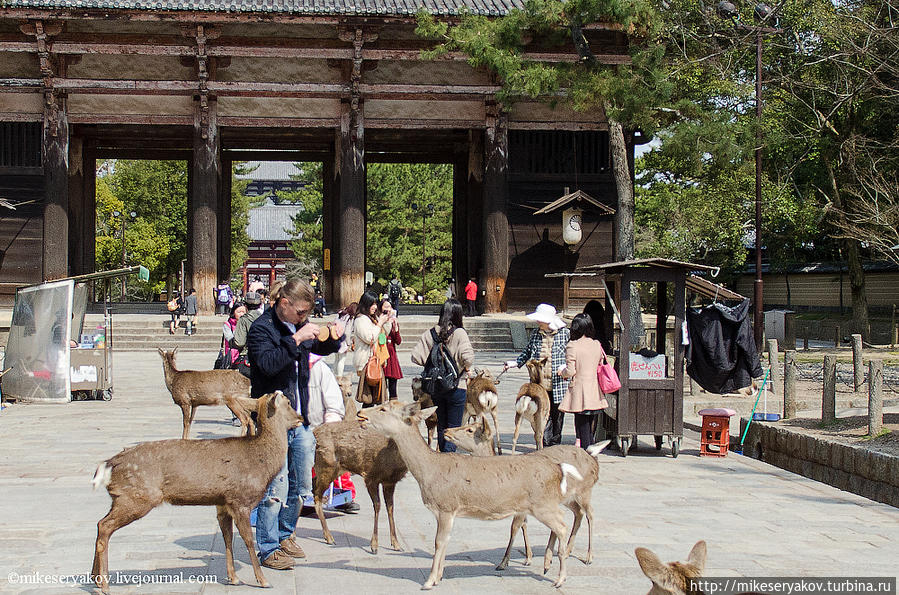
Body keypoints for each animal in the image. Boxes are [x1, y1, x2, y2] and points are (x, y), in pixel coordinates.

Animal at [91, 394, 302, 592]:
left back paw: (96, 579)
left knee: (100, 524)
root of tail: (109, 465)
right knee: (105, 526)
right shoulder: (240, 500)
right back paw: (104, 585)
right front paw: (263, 581)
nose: (301, 418)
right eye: (289, 402)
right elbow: (249, 540)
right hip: (137, 497)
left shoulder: (222, 503)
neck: (261, 463)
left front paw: (233, 578)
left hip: (121, 498)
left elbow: (227, 538)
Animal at [312, 414, 406, 556]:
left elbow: (390, 508)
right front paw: (374, 546)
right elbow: (377, 506)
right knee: (316, 496)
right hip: (326, 467)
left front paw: (396, 544)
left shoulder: (389, 482)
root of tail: (314, 432)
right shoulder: (370, 477)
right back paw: (329, 537)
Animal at [356, 400, 580, 592]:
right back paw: (548, 566)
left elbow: (438, 541)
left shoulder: (446, 505)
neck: (429, 472)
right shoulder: (445, 511)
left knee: (562, 525)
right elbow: (445, 540)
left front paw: (428, 581)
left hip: (542, 504)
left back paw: (559, 579)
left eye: (384, 409)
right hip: (546, 504)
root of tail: (558, 469)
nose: (361, 414)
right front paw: (438, 577)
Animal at [444, 420, 612, 568]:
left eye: (470, 430)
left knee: (590, 513)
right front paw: (528, 557)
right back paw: (567, 551)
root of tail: (592, 457)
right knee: (578, 512)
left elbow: (515, 527)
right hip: (568, 498)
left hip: (584, 490)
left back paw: (588, 557)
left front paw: (503, 563)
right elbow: (523, 525)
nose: (446, 430)